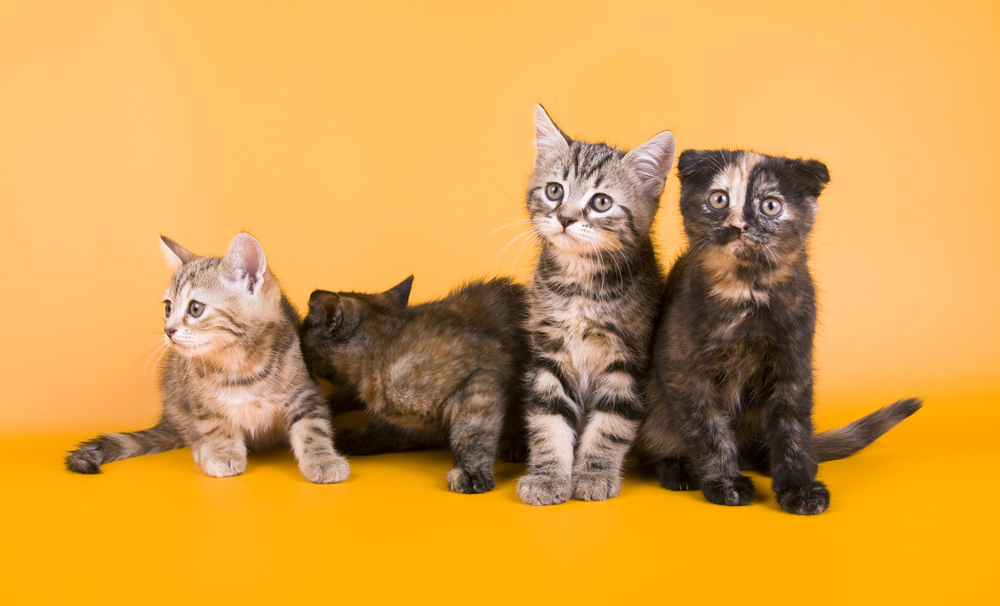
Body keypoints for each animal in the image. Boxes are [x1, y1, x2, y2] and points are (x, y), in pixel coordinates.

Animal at [64, 233, 350, 484]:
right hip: (175, 392)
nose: (168, 330)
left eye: (195, 308)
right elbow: (216, 426)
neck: (240, 366)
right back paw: (202, 449)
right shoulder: (201, 401)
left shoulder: (306, 392)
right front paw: (223, 453)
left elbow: (313, 428)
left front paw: (323, 460)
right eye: (168, 307)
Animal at [300, 278, 532, 496]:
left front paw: (470, 472)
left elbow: (471, 432)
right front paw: (345, 440)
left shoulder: (480, 379)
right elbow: (378, 433)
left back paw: (514, 446)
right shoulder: (412, 425)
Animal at [516, 107, 672, 506]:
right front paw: (548, 476)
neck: (580, 288)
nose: (566, 218)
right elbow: (548, 419)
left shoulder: (628, 360)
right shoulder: (549, 353)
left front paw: (594, 473)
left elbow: (611, 423)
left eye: (601, 202)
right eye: (555, 191)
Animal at [640, 150, 920, 516]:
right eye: (718, 199)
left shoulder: (794, 365)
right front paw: (726, 482)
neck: (747, 289)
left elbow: (792, 429)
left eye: (770, 205)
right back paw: (680, 469)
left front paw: (798, 486)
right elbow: (709, 429)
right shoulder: (685, 371)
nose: (738, 226)